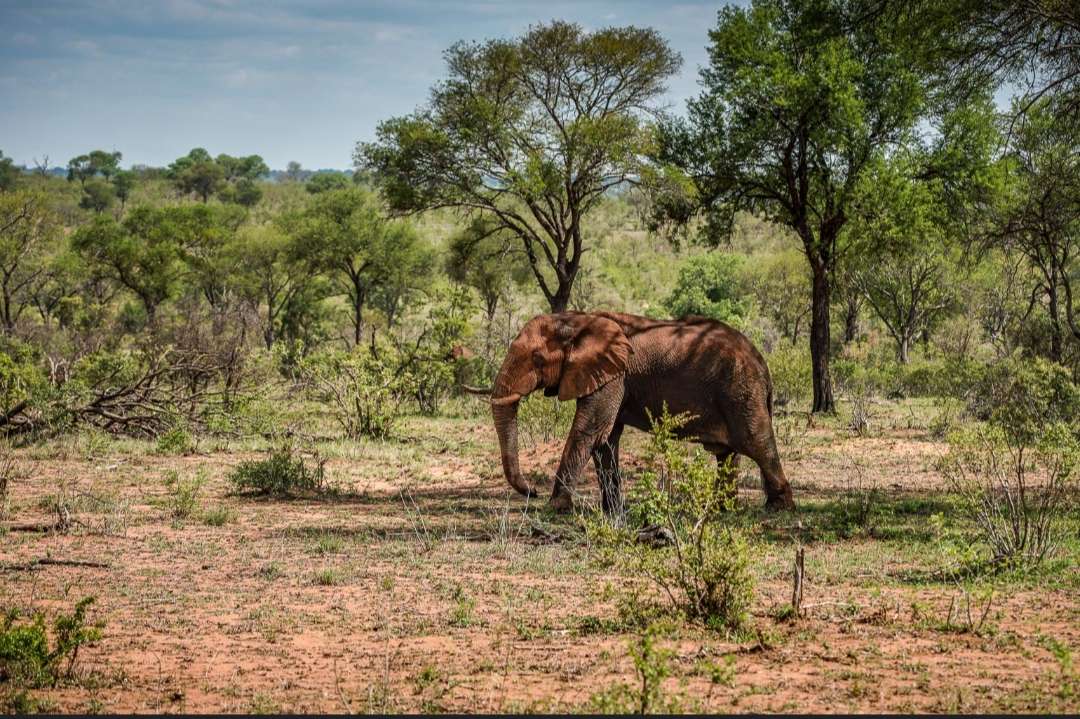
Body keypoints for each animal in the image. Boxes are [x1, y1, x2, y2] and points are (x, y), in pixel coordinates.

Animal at [490, 310, 794, 511]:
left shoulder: (614, 375)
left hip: (741, 391)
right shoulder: (609, 375)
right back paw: (723, 509)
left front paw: (555, 507)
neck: (578, 319)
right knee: (729, 454)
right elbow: (606, 439)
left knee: (757, 443)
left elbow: (589, 431)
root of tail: (762, 364)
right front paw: (612, 510)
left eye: (537, 358)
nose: (533, 492)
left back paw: (778, 507)